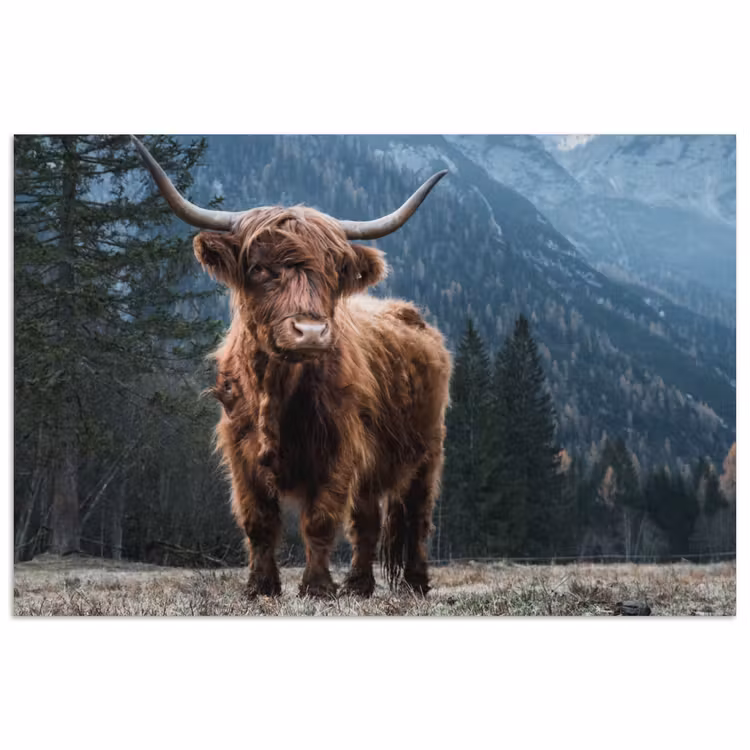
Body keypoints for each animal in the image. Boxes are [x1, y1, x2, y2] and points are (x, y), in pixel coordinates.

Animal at [132, 136, 452, 598]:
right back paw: (358, 585)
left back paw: (415, 583)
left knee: (417, 517)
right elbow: (258, 522)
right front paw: (260, 586)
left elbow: (319, 521)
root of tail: (410, 314)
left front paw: (316, 587)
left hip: (428, 450)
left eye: (334, 272)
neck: (275, 390)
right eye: (260, 268)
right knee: (367, 522)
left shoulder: (338, 449)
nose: (311, 332)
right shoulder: (240, 452)